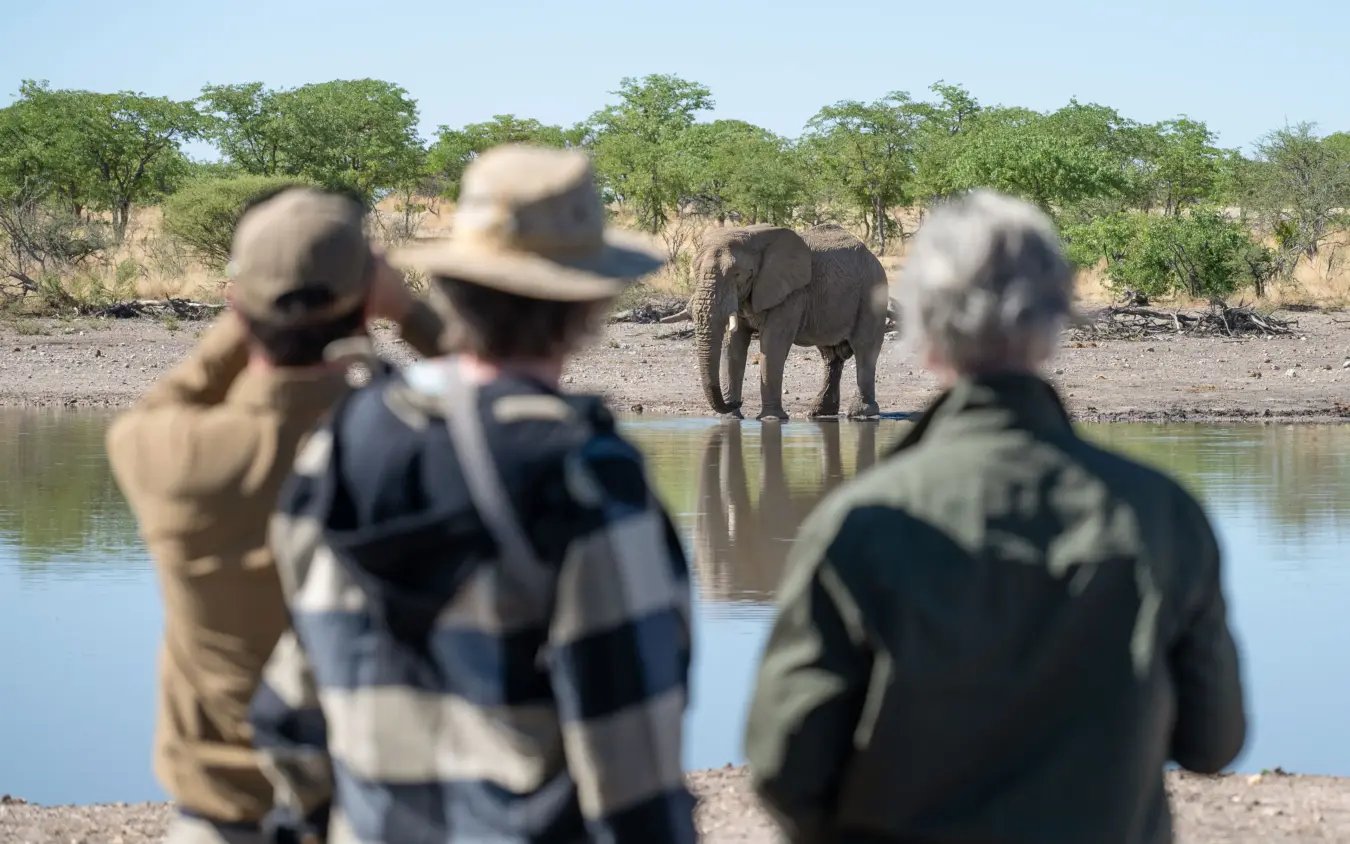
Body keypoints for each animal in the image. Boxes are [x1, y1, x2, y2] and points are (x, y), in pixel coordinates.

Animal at [689, 223, 890, 422]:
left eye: (738, 274)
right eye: (695, 272)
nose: (738, 402)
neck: (751, 235)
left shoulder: (791, 294)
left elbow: (773, 344)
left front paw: (771, 419)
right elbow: (733, 346)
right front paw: (731, 419)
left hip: (872, 293)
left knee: (864, 348)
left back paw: (861, 414)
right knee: (831, 355)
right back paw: (820, 412)